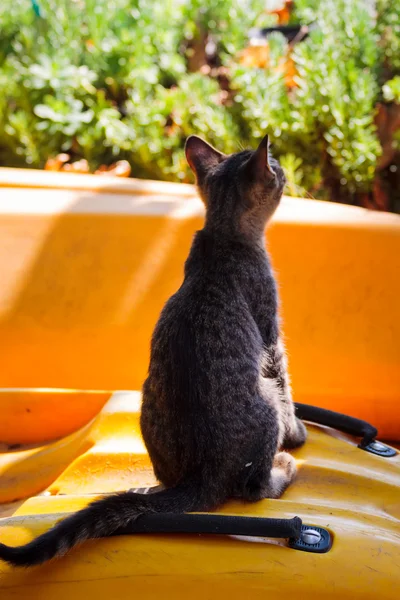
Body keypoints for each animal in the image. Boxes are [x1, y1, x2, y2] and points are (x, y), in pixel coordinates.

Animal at [0, 132, 306, 568]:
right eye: (276, 169)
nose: (284, 174)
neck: (221, 237)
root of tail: (201, 474)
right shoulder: (269, 333)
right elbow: (286, 386)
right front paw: (297, 433)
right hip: (262, 409)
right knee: (253, 487)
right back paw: (283, 468)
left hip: (148, 400)